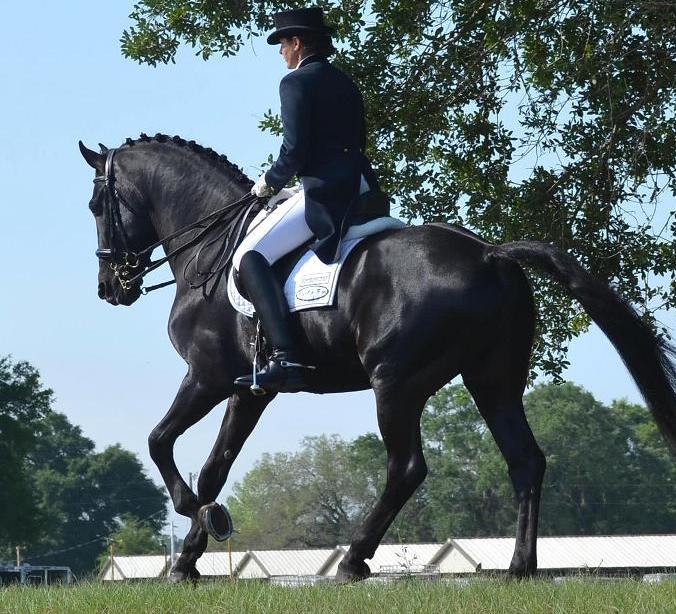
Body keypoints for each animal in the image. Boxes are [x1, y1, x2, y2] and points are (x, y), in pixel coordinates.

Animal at [78, 135, 676, 584]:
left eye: (95, 206)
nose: (110, 287)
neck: (213, 244)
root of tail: (489, 253)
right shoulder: (250, 389)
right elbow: (214, 467)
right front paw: (188, 557)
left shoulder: (208, 376)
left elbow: (160, 442)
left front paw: (193, 517)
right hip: (492, 379)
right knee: (525, 459)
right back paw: (518, 569)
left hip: (397, 383)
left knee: (406, 467)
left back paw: (353, 560)